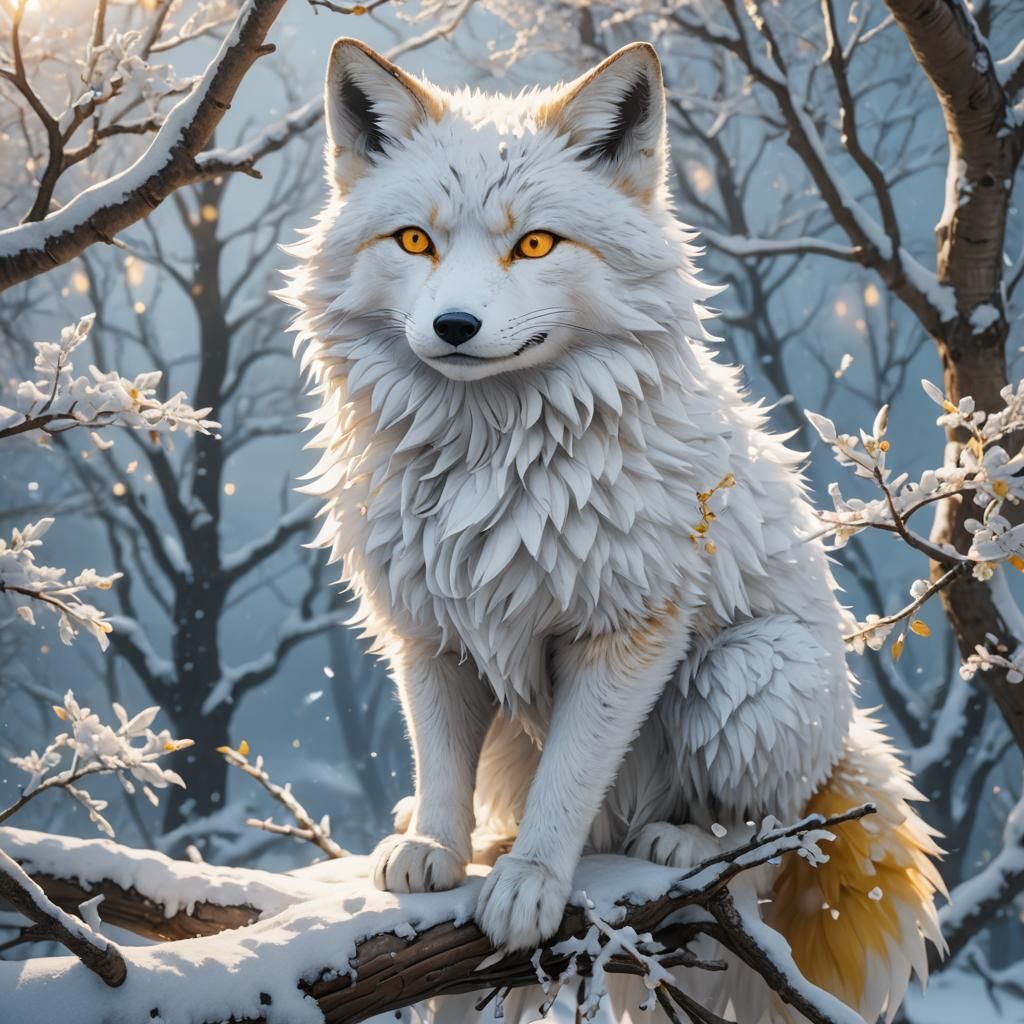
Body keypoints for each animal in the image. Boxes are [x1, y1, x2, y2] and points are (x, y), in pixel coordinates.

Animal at [282, 37, 946, 1023]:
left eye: (534, 243)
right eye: (414, 241)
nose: (454, 326)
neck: (489, 462)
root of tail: (847, 747)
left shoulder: (626, 633)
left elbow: (570, 777)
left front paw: (528, 881)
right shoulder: (430, 633)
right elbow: (438, 758)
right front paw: (437, 849)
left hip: (751, 673)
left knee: (775, 836)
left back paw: (687, 841)